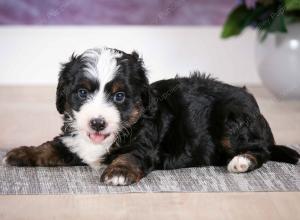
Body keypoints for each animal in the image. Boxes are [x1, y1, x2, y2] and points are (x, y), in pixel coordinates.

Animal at [3, 46, 298, 186]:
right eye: (81, 93)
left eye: (119, 96)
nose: (97, 122)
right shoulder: (73, 140)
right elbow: (49, 147)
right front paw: (20, 153)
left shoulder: (144, 145)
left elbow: (130, 156)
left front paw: (118, 172)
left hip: (233, 117)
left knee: (261, 150)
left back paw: (241, 161)